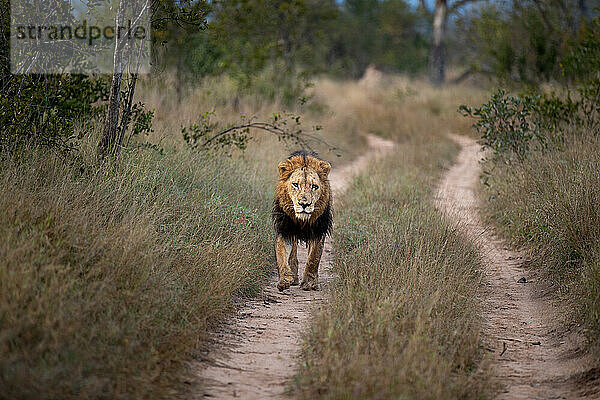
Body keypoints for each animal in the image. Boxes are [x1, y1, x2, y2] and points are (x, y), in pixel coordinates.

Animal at [272, 150, 332, 290]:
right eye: (295, 184)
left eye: (314, 187)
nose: (304, 204)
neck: (302, 221)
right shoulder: (285, 229)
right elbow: (281, 254)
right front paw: (284, 279)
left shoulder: (318, 230)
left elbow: (313, 258)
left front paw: (309, 283)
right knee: (293, 254)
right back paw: (293, 277)